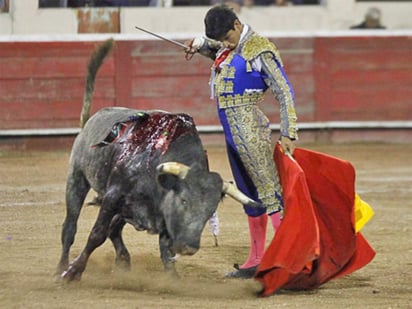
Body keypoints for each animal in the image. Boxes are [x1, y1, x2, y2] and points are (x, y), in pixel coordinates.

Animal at [56, 38, 260, 280]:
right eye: (184, 201)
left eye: (210, 211)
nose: (189, 247)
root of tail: (91, 120)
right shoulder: (113, 197)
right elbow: (97, 234)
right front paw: (73, 272)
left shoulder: (160, 216)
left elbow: (165, 249)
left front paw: (173, 279)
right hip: (77, 178)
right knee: (70, 226)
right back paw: (61, 267)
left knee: (114, 229)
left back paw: (123, 261)